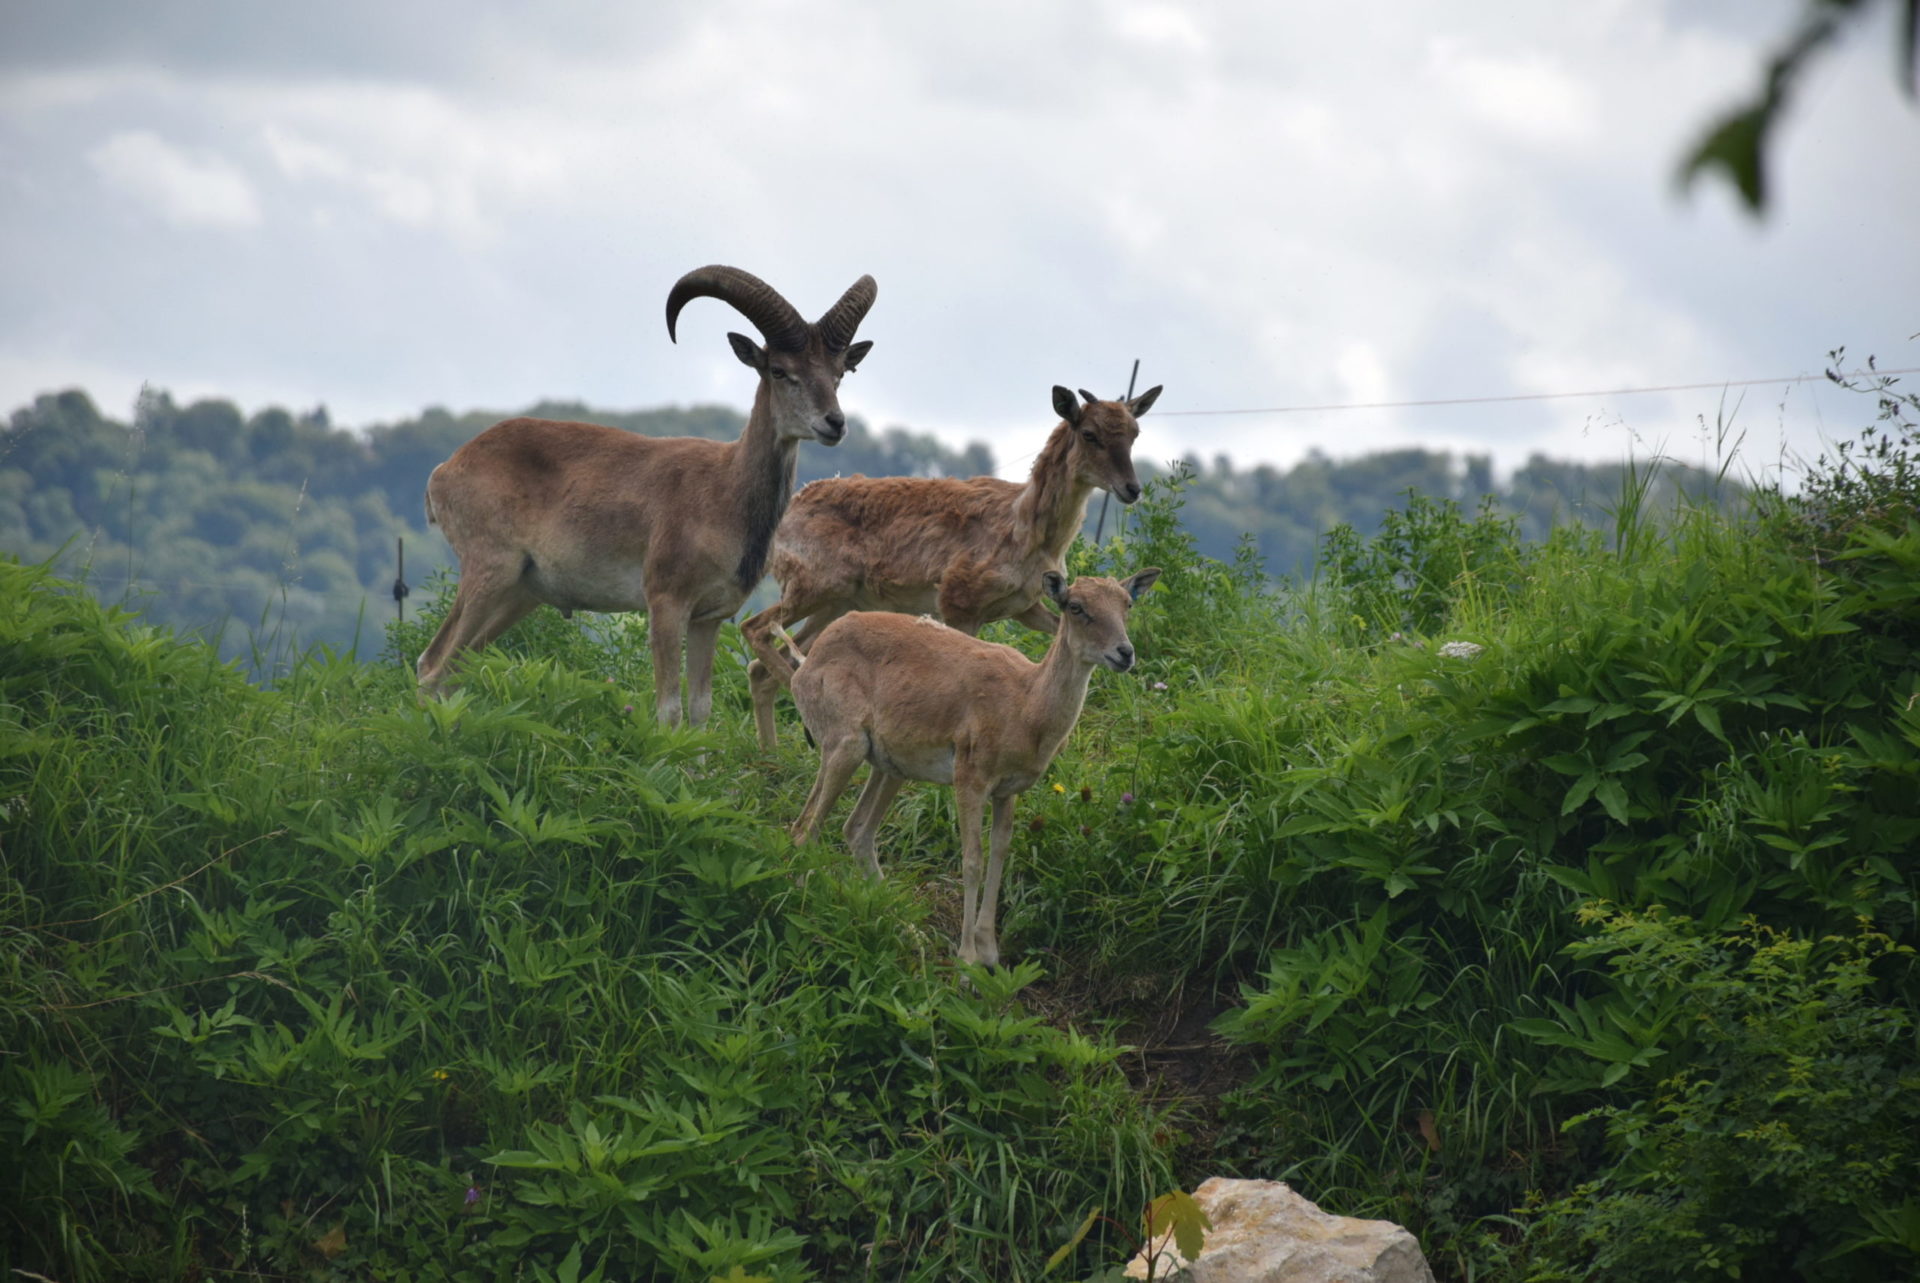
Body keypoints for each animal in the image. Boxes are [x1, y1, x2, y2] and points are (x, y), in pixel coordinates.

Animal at [791, 564, 1159, 968]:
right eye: (1075, 606)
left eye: (1126, 603)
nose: (1124, 653)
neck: (1026, 707)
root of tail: (805, 665)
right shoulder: (970, 778)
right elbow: (972, 860)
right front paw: (967, 959)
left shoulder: (1007, 790)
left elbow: (999, 851)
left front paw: (990, 950)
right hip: (845, 745)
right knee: (806, 827)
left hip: (890, 767)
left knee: (855, 829)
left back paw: (909, 930)